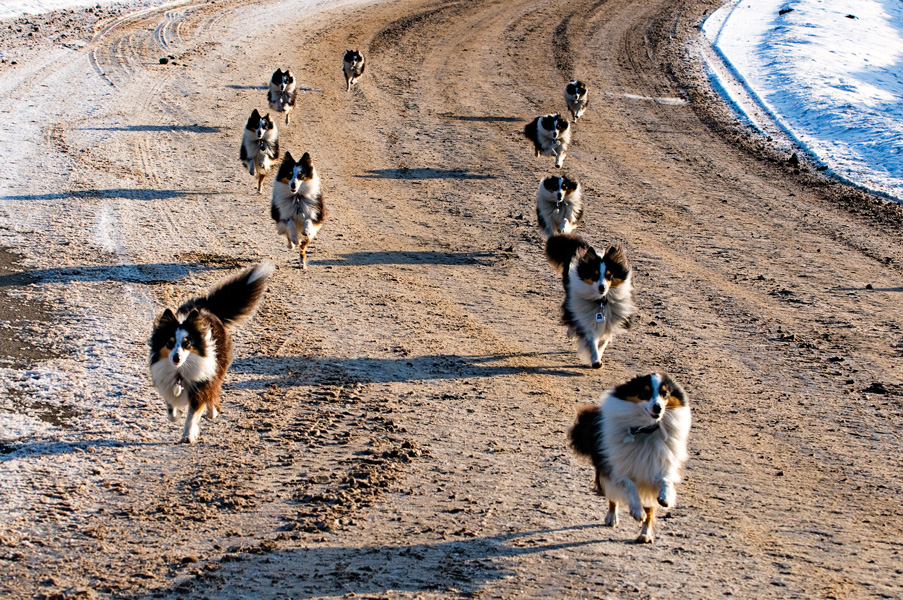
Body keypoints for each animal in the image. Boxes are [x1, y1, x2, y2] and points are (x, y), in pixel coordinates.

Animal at [148, 264, 274, 446]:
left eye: (187, 343)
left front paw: (188, 436)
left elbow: (192, 415)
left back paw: (212, 411)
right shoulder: (168, 383)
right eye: (169, 343)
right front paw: (178, 413)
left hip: (217, 367)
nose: (176, 358)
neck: (181, 370)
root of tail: (205, 306)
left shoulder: (201, 384)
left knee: (214, 390)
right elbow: (172, 412)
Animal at [544, 233, 636, 366]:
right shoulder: (586, 317)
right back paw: (570, 332)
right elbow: (591, 339)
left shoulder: (610, 320)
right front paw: (595, 360)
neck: (601, 301)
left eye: (610, 275)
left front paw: (599, 353)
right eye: (594, 275)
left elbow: (603, 340)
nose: (602, 287)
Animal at [572, 372, 692, 540]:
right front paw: (636, 511)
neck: (645, 430)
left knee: (649, 509)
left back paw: (645, 535)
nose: (658, 407)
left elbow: (665, 482)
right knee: (612, 497)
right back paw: (612, 518)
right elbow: (629, 486)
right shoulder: (617, 469)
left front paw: (666, 497)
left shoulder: (659, 466)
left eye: (665, 393)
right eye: (645, 392)